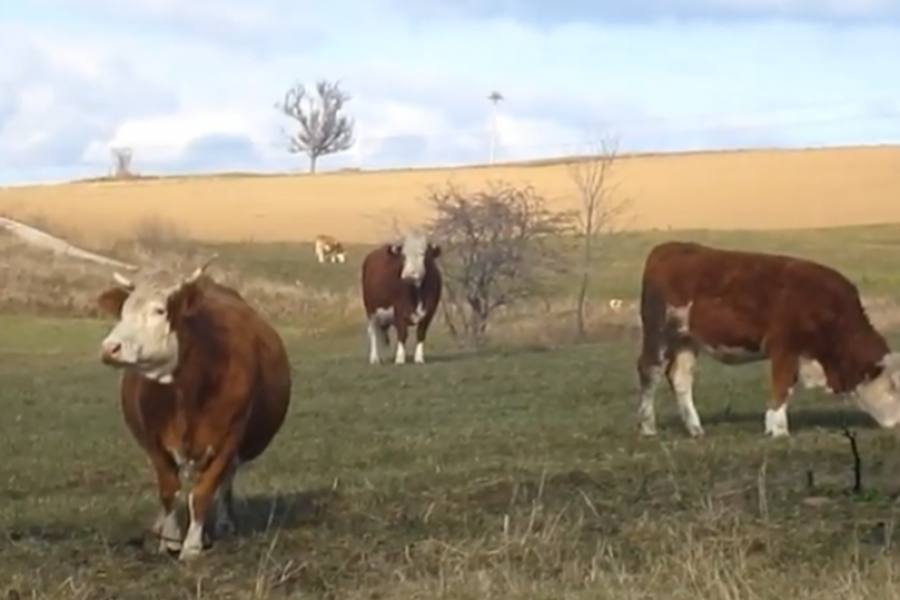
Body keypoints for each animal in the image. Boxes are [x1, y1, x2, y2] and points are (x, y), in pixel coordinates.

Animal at [95, 258, 292, 564]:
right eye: (124, 311)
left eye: (159, 310)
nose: (110, 348)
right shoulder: (156, 442)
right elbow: (169, 490)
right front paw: (169, 540)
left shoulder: (228, 438)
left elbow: (203, 492)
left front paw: (192, 546)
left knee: (224, 481)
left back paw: (223, 522)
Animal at [360, 232, 442, 366]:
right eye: (403, 256)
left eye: (422, 253)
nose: (408, 275)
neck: (417, 294)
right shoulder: (399, 310)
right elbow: (403, 334)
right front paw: (399, 359)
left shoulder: (430, 311)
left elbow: (421, 333)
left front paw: (419, 358)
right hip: (371, 310)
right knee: (373, 332)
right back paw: (375, 358)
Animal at [636, 241, 900, 438]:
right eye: (893, 387)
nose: (898, 425)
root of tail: (667, 248)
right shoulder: (784, 347)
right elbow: (783, 385)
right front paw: (778, 430)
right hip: (659, 332)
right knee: (650, 372)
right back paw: (648, 427)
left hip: (687, 341)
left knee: (680, 378)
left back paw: (695, 429)